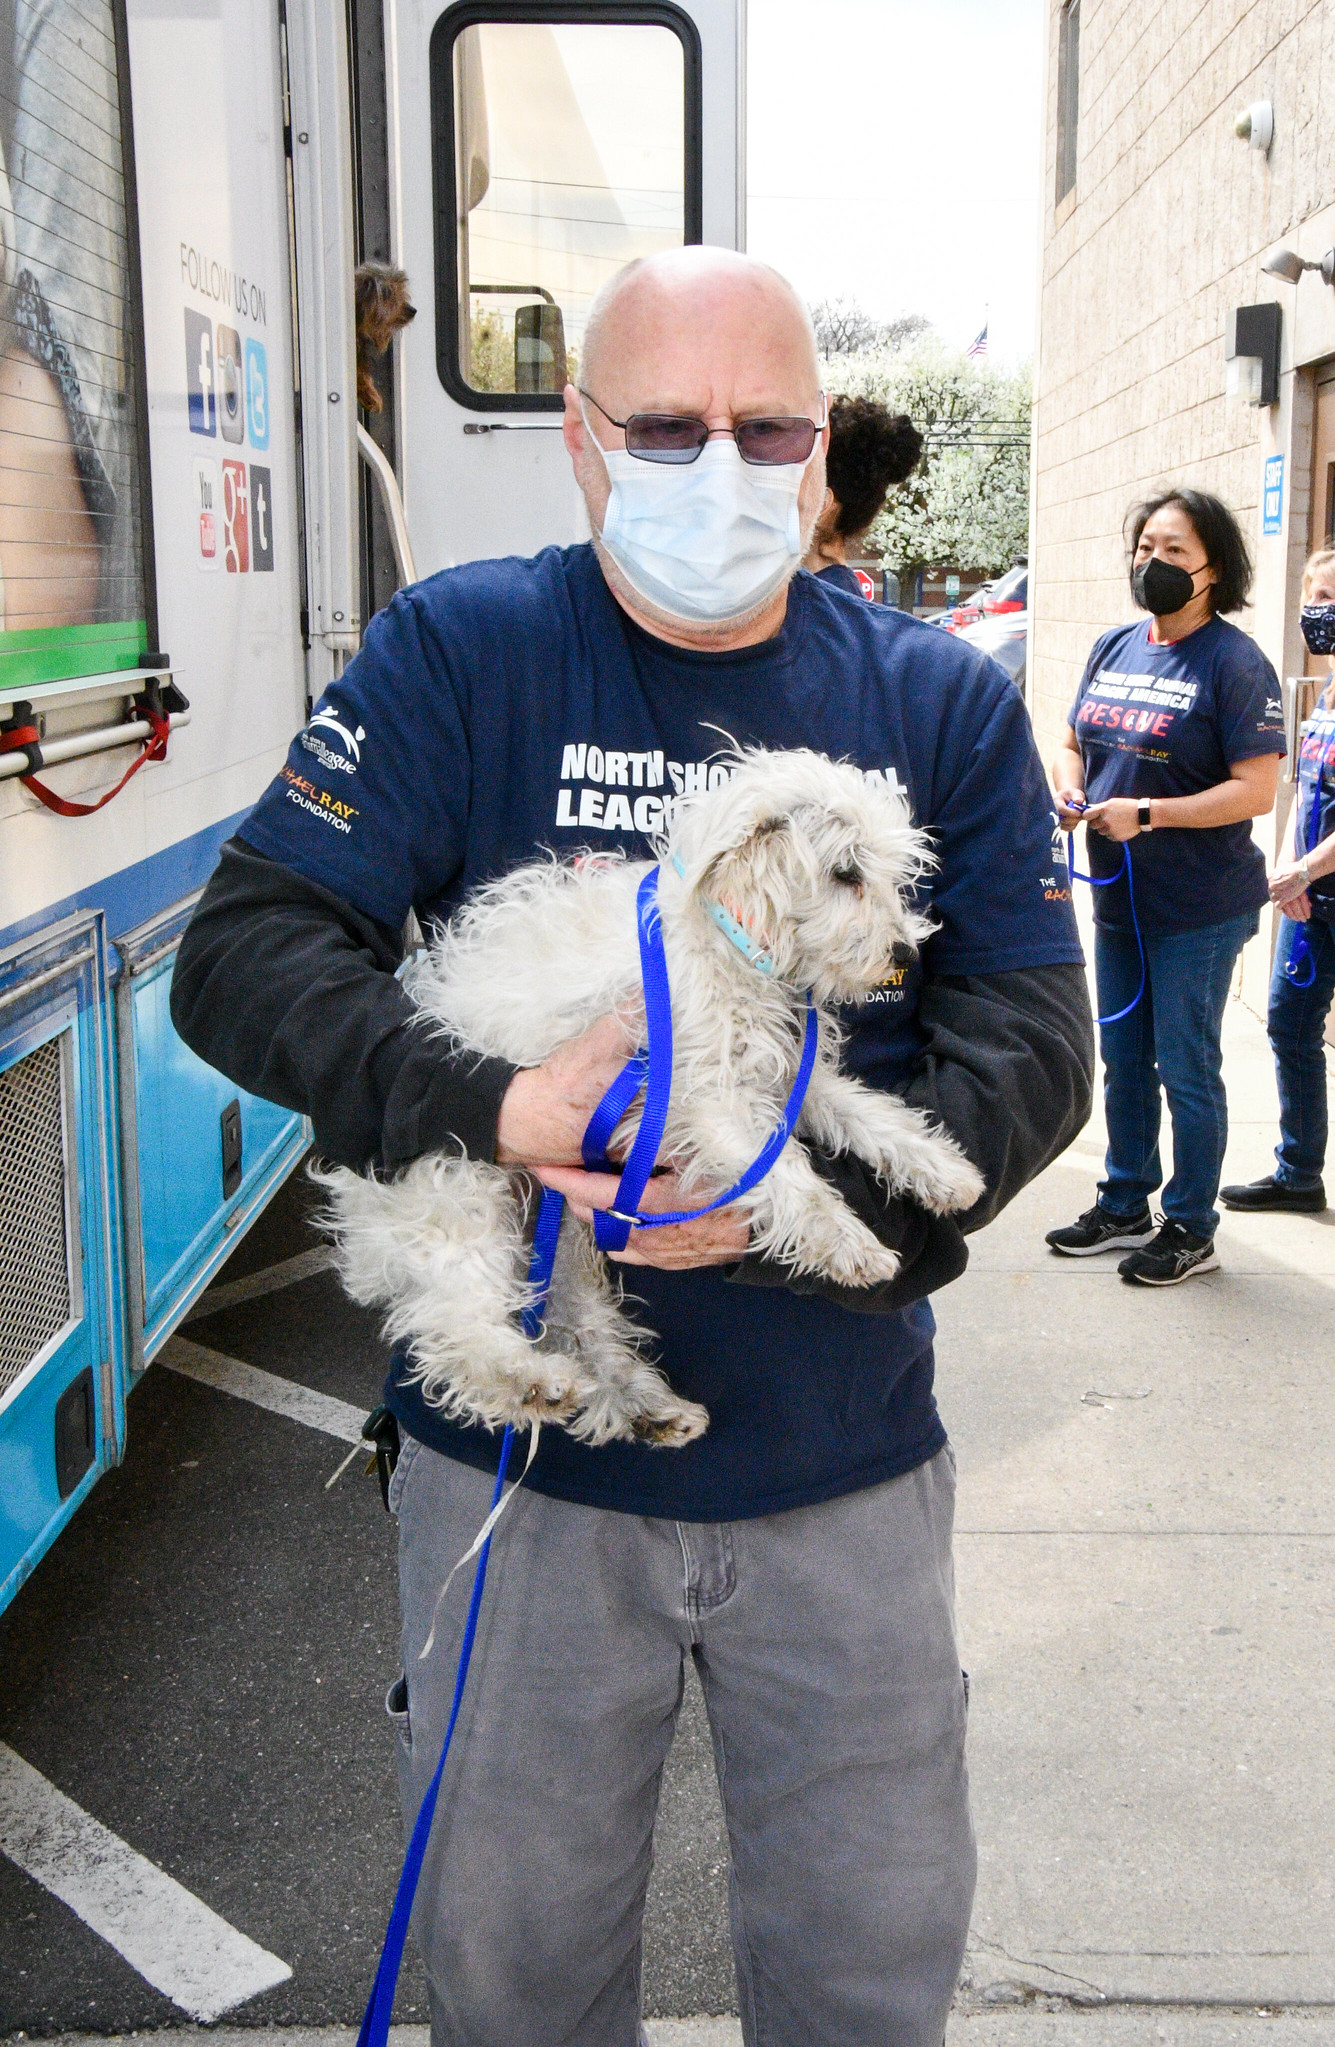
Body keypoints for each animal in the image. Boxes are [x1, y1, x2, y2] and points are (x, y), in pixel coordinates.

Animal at [317, 757, 986, 1457]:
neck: (722, 939)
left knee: (577, 1320)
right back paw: (528, 1383)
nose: (905, 955)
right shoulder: (701, 1098)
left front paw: (944, 1173)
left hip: (561, 1238)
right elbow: (784, 1174)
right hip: (458, 1190)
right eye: (846, 873)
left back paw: (646, 1407)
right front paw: (846, 1243)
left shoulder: (780, 1076)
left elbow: (869, 1115)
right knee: (455, 1323)